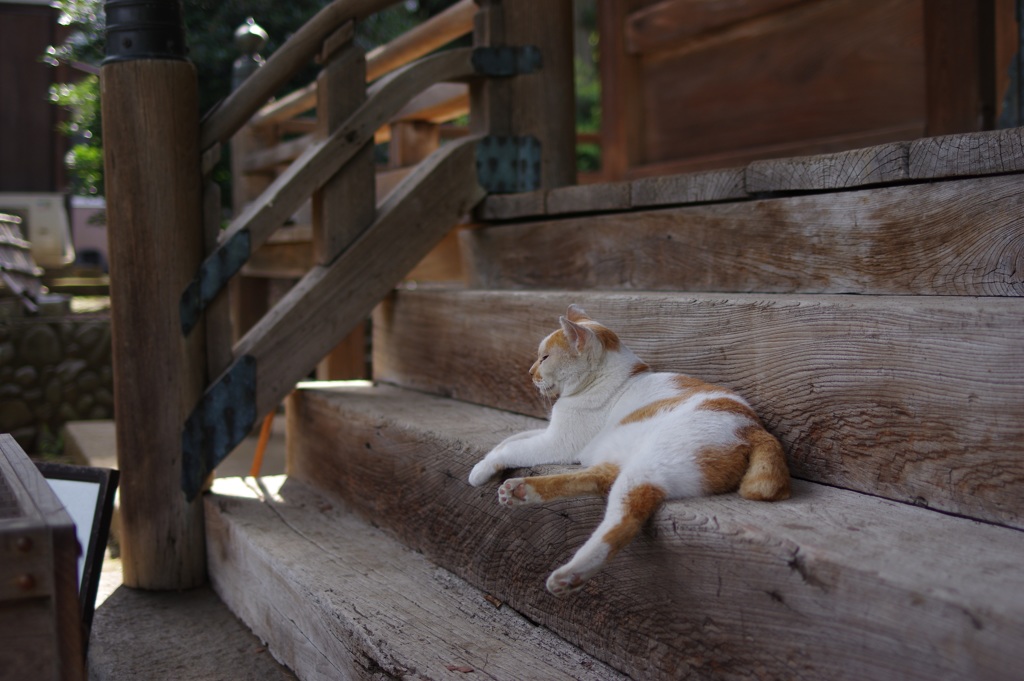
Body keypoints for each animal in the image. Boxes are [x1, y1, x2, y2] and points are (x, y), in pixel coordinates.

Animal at [468, 305, 786, 593]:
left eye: (544, 357)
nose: (530, 372)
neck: (614, 378)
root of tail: (755, 429)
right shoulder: (549, 432)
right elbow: (512, 439)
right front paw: (488, 459)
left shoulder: (558, 442)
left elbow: (513, 449)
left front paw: (479, 470)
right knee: (598, 479)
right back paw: (520, 491)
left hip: (650, 467)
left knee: (622, 519)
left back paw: (570, 574)